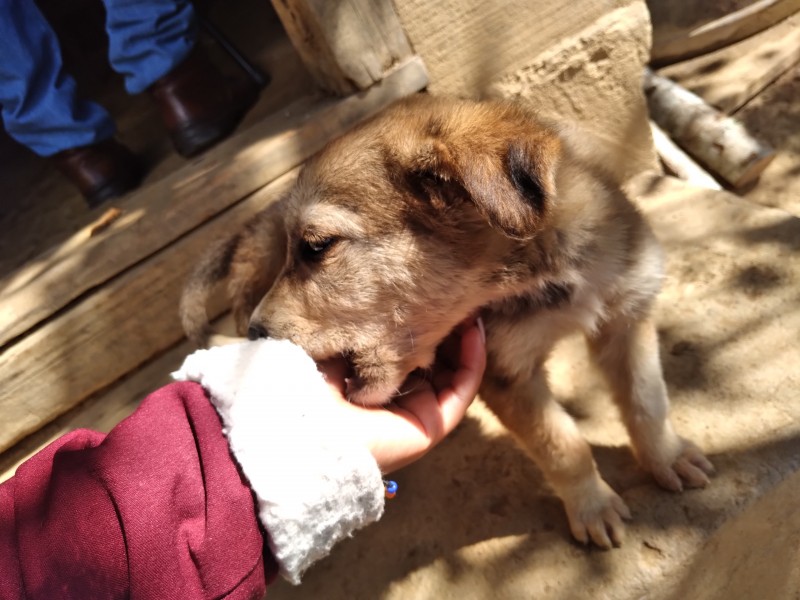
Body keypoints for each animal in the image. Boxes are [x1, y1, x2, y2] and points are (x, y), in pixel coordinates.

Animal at [184, 94, 716, 548]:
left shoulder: (627, 314)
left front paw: (668, 458)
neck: (549, 277)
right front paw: (593, 507)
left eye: (317, 247)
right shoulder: (509, 371)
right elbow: (564, 444)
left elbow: (647, 400)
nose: (258, 333)